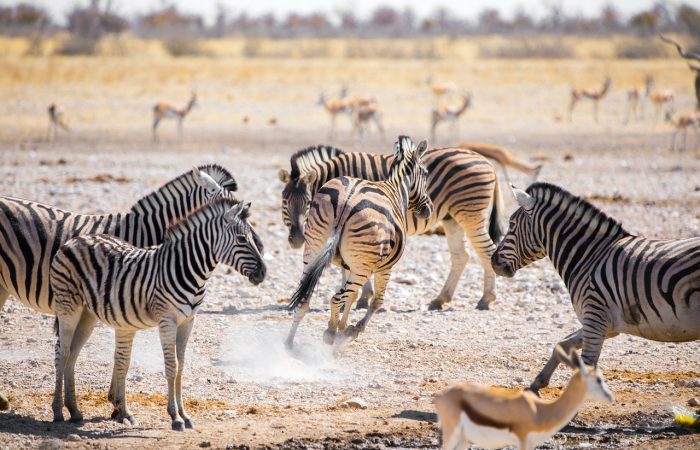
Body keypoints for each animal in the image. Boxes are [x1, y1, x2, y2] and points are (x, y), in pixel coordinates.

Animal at [50, 199, 265, 430]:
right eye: (242, 238)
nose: (263, 273)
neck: (189, 270)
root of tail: (75, 240)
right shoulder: (167, 321)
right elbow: (172, 367)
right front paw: (175, 417)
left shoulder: (188, 322)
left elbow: (181, 367)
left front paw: (185, 415)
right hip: (68, 307)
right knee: (63, 353)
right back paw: (58, 411)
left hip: (87, 314)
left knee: (73, 353)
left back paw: (74, 410)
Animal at [278, 143, 502, 311]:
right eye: (284, 201)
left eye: (308, 202)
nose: (297, 240)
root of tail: (488, 162)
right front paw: (358, 296)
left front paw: (358, 297)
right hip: (452, 218)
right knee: (461, 256)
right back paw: (440, 299)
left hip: (470, 213)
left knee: (486, 251)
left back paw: (486, 298)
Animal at [285, 136, 433, 348]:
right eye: (426, 174)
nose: (428, 209)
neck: (396, 189)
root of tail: (347, 201)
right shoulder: (384, 267)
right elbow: (377, 301)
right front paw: (352, 329)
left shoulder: (348, 264)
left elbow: (353, 295)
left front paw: (342, 325)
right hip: (364, 265)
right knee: (336, 298)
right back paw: (330, 333)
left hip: (313, 250)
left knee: (304, 298)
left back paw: (289, 343)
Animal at [491, 182, 700, 395]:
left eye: (511, 225)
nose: (493, 261)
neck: (589, 256)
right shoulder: (604, 323)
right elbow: (562, 345)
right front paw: (537, 383)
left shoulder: (595, 316)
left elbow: (586, 365)